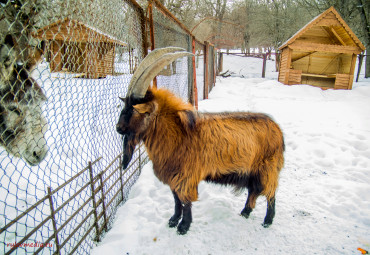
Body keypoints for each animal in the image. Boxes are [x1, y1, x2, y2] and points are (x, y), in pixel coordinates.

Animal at [117, 46, 284, 234]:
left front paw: (183, 226)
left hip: (268, 168)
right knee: (253, 191)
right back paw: (245, 212)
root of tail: (278, 130)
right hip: (253, 171)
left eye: (133, 109)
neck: (178, 134)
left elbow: (185, 201)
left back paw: (267, 221)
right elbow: (176, 199)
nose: (118, 128)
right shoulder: (174, 177)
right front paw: (173, 220)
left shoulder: (185, 176)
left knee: (270, 193)